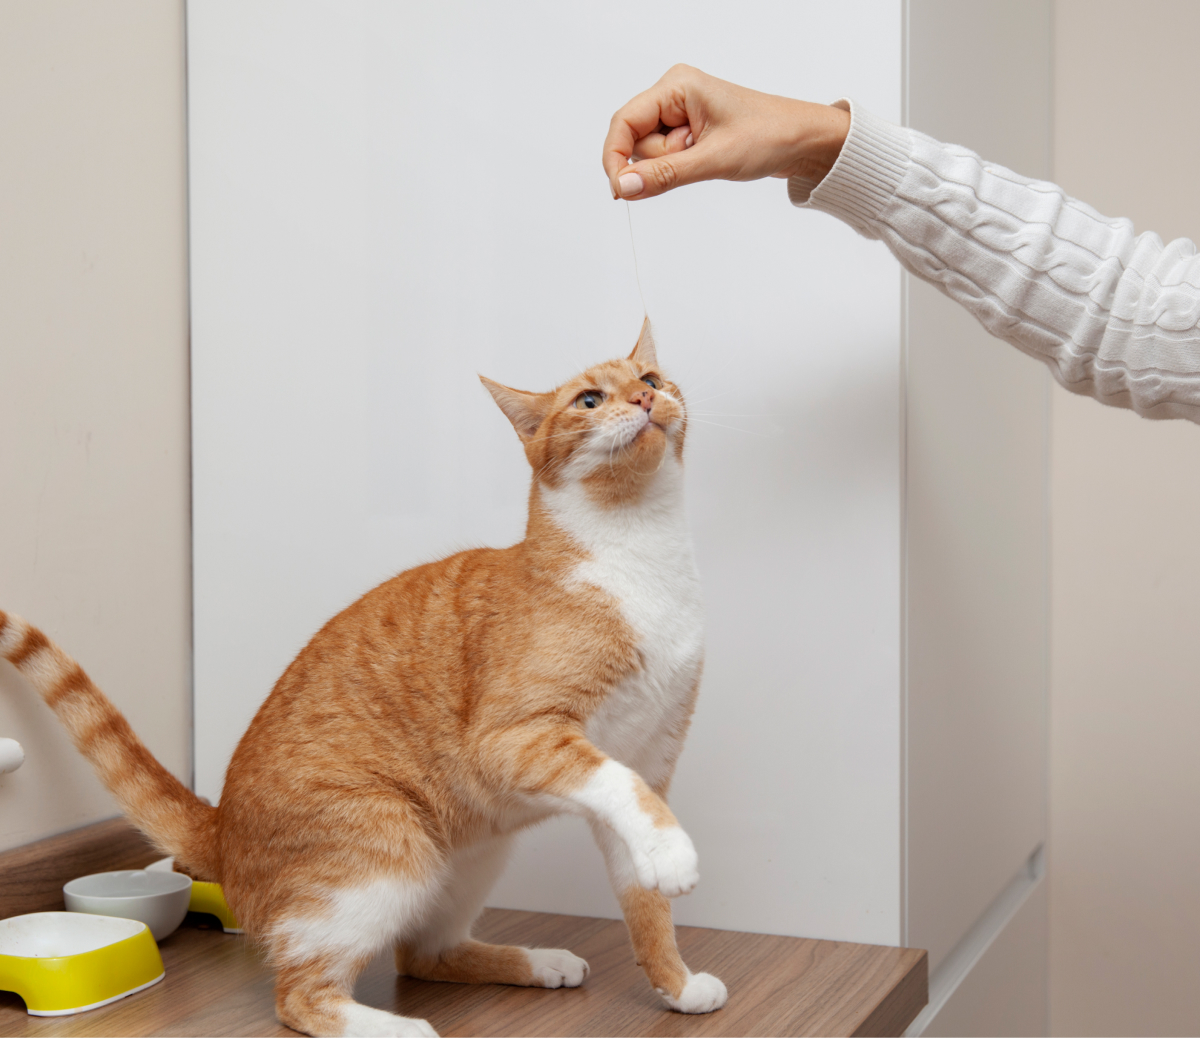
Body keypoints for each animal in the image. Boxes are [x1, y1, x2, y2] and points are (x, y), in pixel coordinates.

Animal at [2, 319, 729, 1032]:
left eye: (651, 378)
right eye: (589, 400)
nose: (643, 398)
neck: (639, 557)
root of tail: (220, 831)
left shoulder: (648, 755)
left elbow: (645, 900)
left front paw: (676, 983)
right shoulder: (519, 739)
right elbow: (625, 792)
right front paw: (676, 856)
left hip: (470, 855)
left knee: (423, 955)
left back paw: (537, 960)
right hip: (387, 848)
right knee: (302, 997)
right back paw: (402, 1027)